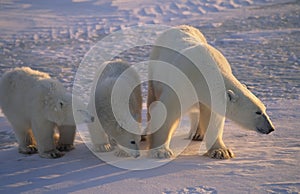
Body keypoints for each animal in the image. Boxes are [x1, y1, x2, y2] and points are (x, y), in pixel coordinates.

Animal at [146, 25, 276, 159]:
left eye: (264, 109)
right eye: (257, 112)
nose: (271, 128)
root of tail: (179, 26)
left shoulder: (211, 98)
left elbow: (214, 120)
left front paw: (221, 151)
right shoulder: (182, 84)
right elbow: (167, 111)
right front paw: (161, 151)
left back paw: (197, 134)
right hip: (155, 67)